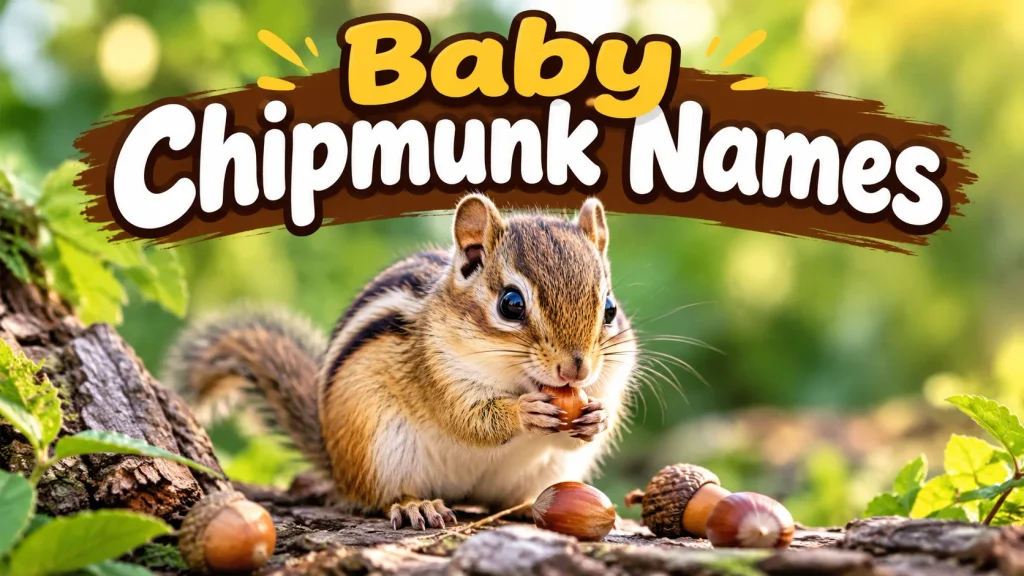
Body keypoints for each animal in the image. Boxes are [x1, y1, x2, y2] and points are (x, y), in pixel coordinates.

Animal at [164, 193, 638, 530]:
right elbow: (468, 419)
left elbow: (580, 431)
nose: (576, 368)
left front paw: (596, 417)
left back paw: (525, 506)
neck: (516, 378)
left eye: (609, 308)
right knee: (381, 497)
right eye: (511, 304)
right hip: (377, 447)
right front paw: (525, 412)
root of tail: (336, 463)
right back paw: (418, 506)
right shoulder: (436, 370)